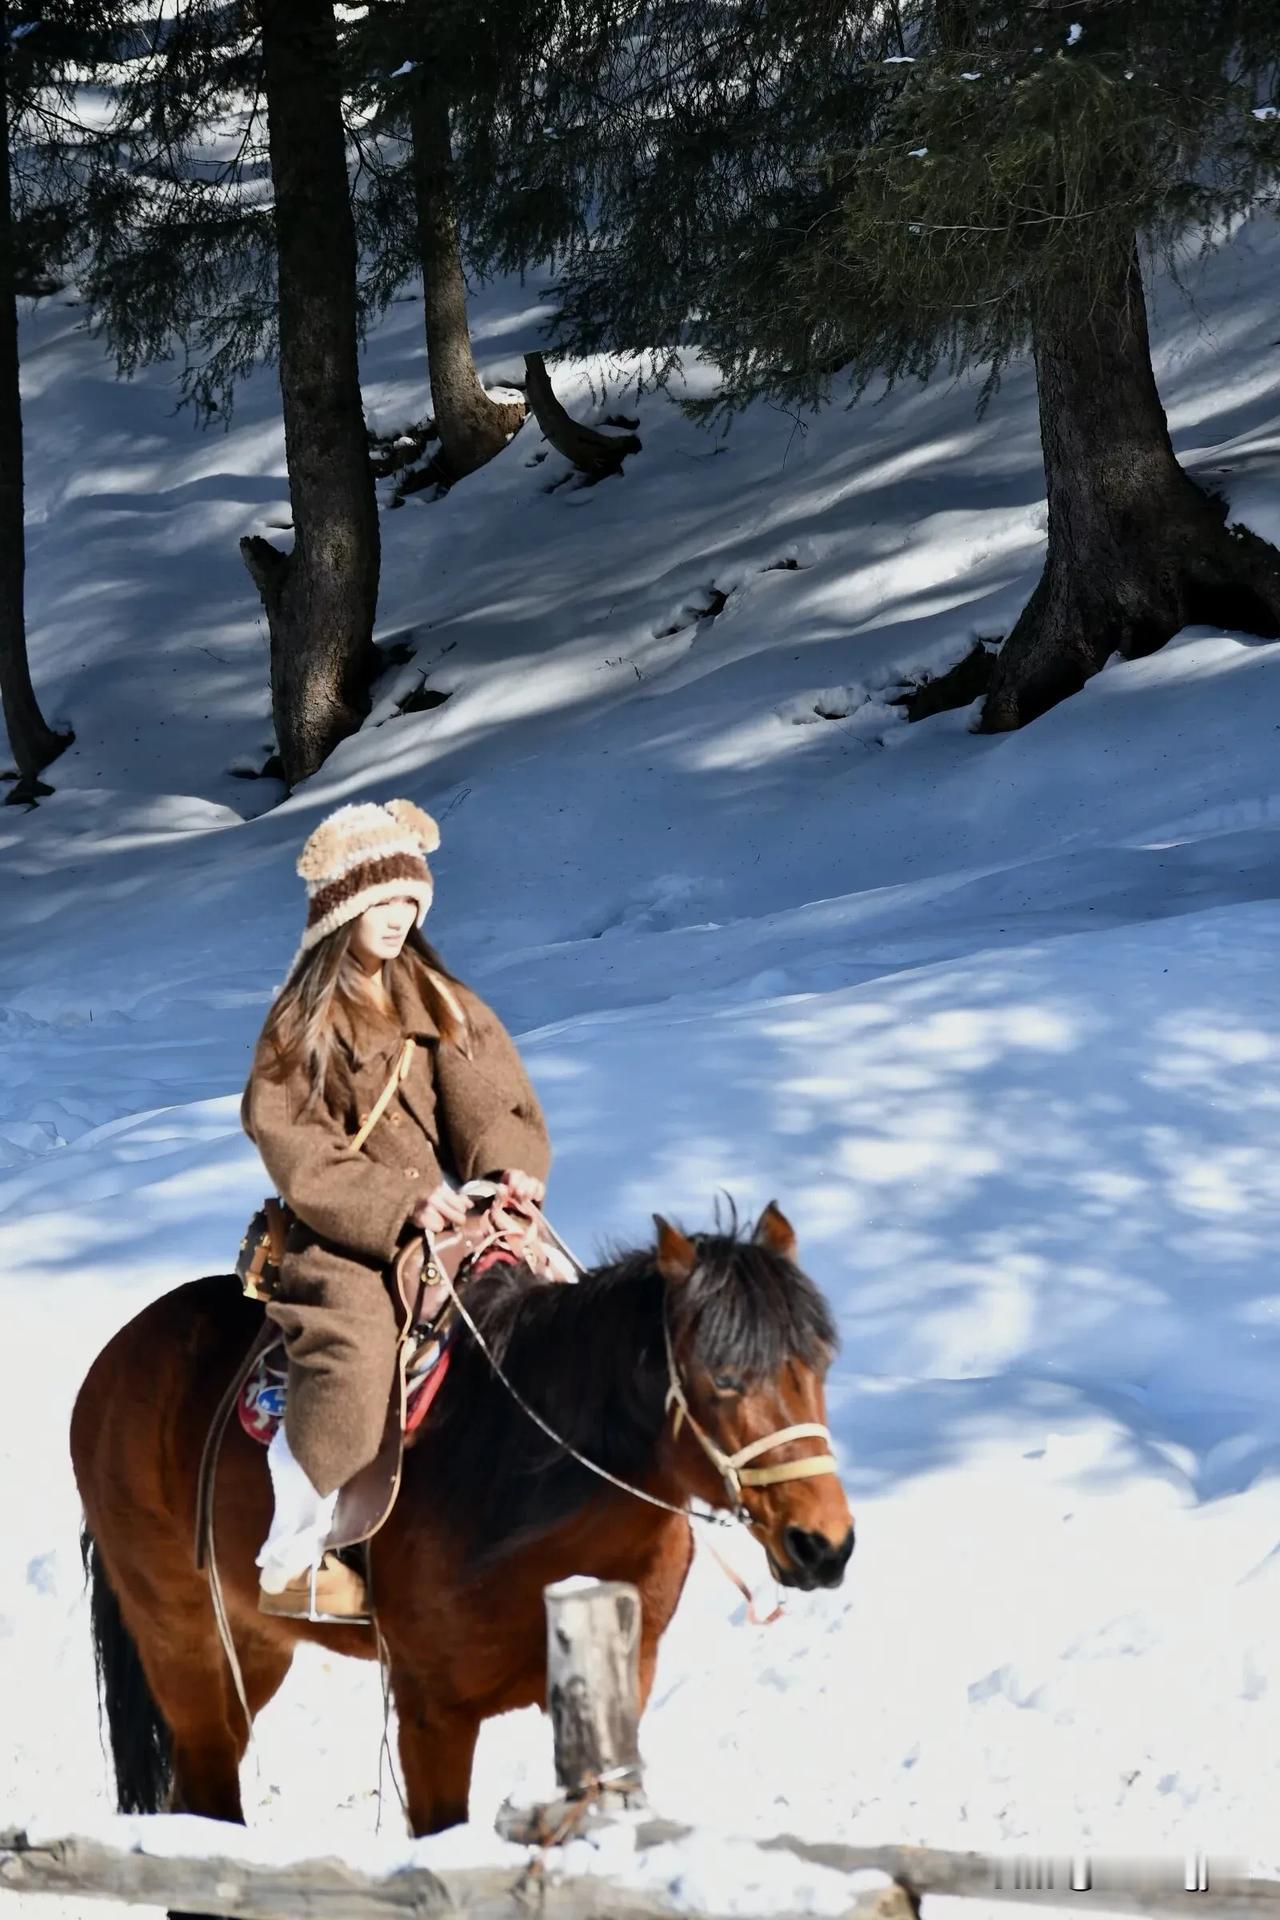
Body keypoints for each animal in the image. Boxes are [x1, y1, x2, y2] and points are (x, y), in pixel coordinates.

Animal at [67, 1205, 852, 1850]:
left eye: (817, 1362)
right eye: (721, 1377)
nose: (823, 1545)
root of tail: (111, 1363)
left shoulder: (625, 1682)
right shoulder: (431, 1712)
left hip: (255, 1644)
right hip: (179, 1635)